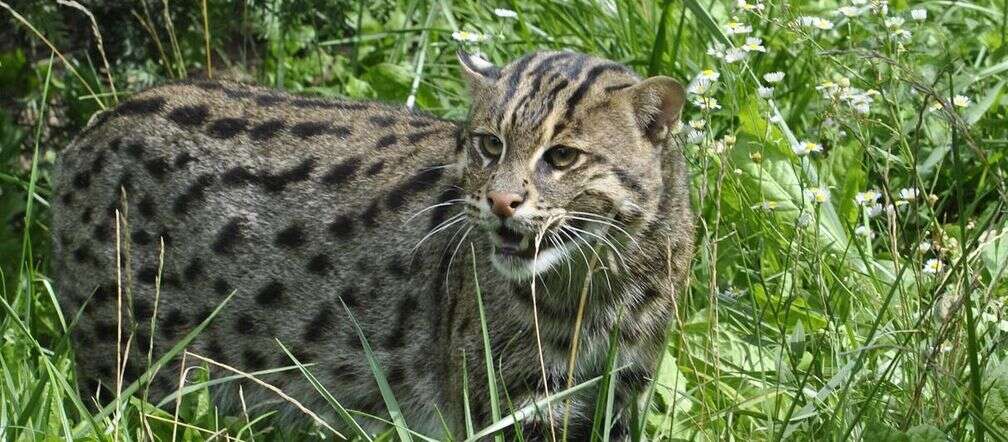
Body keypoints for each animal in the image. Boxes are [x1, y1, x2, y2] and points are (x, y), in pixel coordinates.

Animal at [53, 50, 693, 437]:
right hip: (130, 363)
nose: (500, 201)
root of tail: (98, 123)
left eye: (562, 157)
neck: (596, 281)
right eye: (489, 145)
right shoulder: (515, 404)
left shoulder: (622, 393)